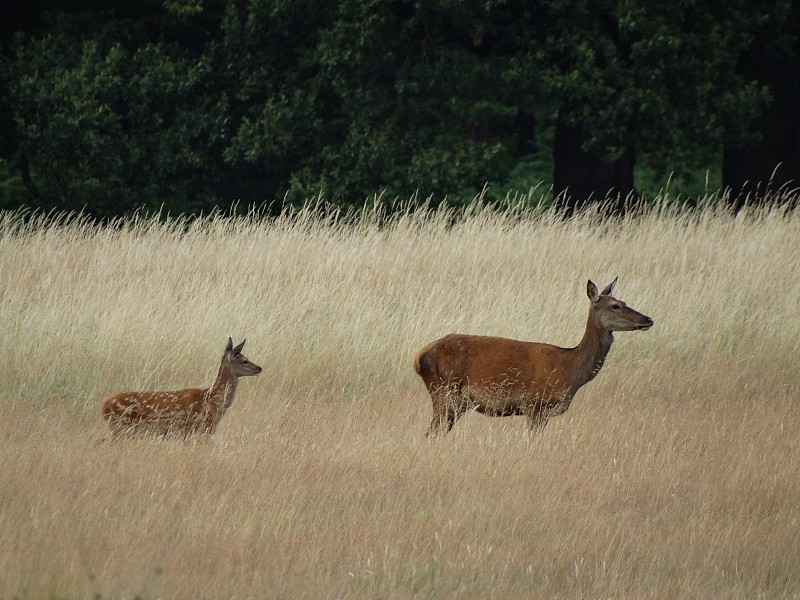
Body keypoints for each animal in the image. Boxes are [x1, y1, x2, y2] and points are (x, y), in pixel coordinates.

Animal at [99, 338, 262, 440]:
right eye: (244, 360)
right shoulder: (195, 429)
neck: (212, 401)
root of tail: (103, 405)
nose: (259, 368)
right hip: (121, 427)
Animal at [416, 276, 652, 436]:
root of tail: (418, 357)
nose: (648, 319)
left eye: (623, 301)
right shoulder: (535, 404)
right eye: (615, 306)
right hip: (445, 392)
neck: (570, 371)